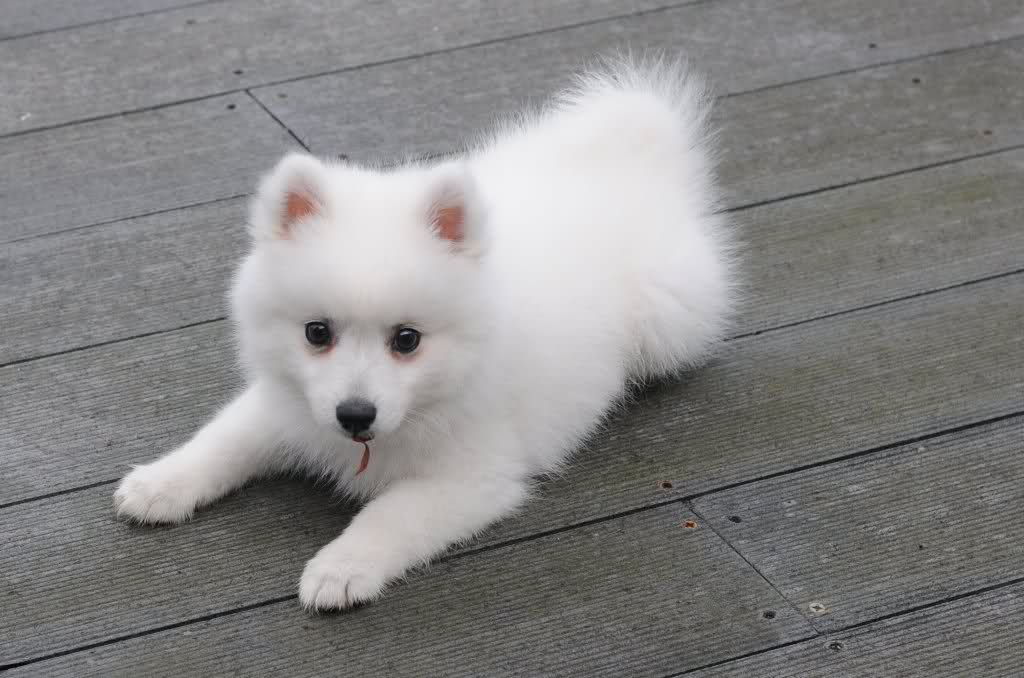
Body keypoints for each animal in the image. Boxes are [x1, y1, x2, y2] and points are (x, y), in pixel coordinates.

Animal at [114, 55, 738, 610]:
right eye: (317, 332)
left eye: (407, 340)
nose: (354, 415)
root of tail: (630, 166)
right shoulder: (288, 403)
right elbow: (226, 437)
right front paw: (161, 482)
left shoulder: (473, 473)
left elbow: (391, 515)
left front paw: (341, 568)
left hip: (664, 320)